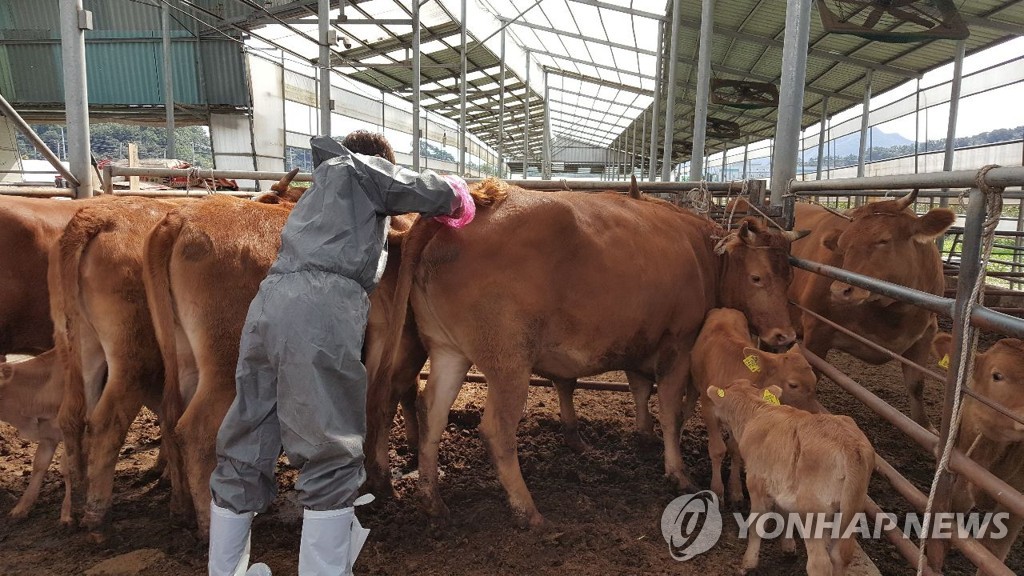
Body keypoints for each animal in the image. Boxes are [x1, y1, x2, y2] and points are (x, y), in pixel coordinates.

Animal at [372, 179, 802, 524]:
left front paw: (644, 436)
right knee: (496, 429)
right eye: (757, 277)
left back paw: (432, 500)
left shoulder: (639, 341)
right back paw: (527, 510)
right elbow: (670, 407)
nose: (785, 335)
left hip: (448, 351)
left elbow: (640, 389)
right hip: (509, 362)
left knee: (431, 413)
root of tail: (480, 198)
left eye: (789, 276)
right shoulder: (677, 343)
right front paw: (677, 470)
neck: (698, 252)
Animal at [688, 307, 823, 500]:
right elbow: (717, 449)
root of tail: (725, 309)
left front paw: (735, 489)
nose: (815, 414)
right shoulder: (708, 410)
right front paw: (717, 490)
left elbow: (736, 448)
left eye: (814, 380)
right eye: (793, 385)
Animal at [786, 190, 954, 428]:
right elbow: (812, 374)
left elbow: (916, 386)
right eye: (843, 245)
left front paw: (925, 426)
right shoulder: (816, 329)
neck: (891, 313)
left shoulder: (925, 335)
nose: (839, 290)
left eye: (884, 240)